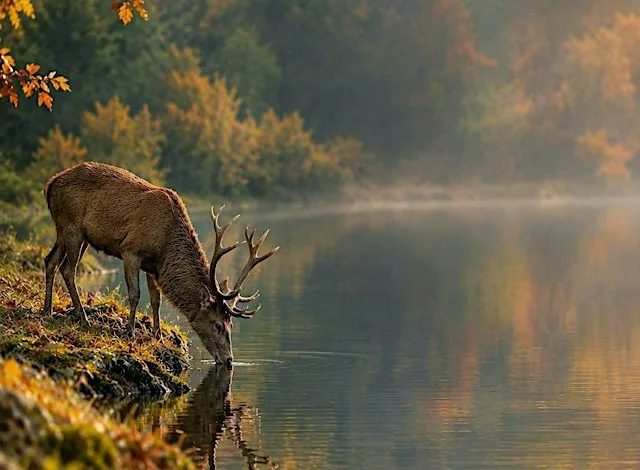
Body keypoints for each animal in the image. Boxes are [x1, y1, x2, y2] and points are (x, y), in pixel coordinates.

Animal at [42, 162, 279, 367]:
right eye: (217, 324)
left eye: (231, 324)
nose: (229, 360)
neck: (166, 245)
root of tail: (50, 185)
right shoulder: (131, 250)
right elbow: (135, 294)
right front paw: (130, 332)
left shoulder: (153, 266)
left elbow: (156, 300)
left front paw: (158, 337)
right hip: (72, 227)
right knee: (68, 269)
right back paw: (83, 318)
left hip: (68, 232)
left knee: (50, 260)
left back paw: (48, 310)